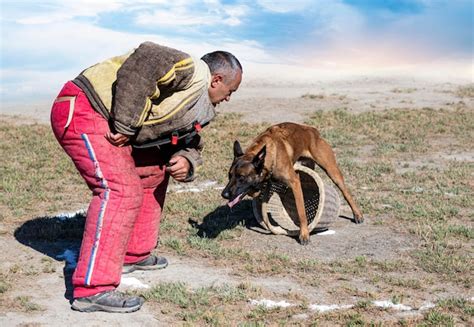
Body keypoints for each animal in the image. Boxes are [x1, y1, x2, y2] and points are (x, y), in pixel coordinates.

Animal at [222, 121, 362, 245]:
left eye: (241, 177)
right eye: (229, 175)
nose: (224, 194)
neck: (269, 154)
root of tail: (312, 130)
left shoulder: (295, 182)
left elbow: (301, 212)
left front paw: (304, 234)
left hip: (332, 171)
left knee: (346, 192)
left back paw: (358, 215)